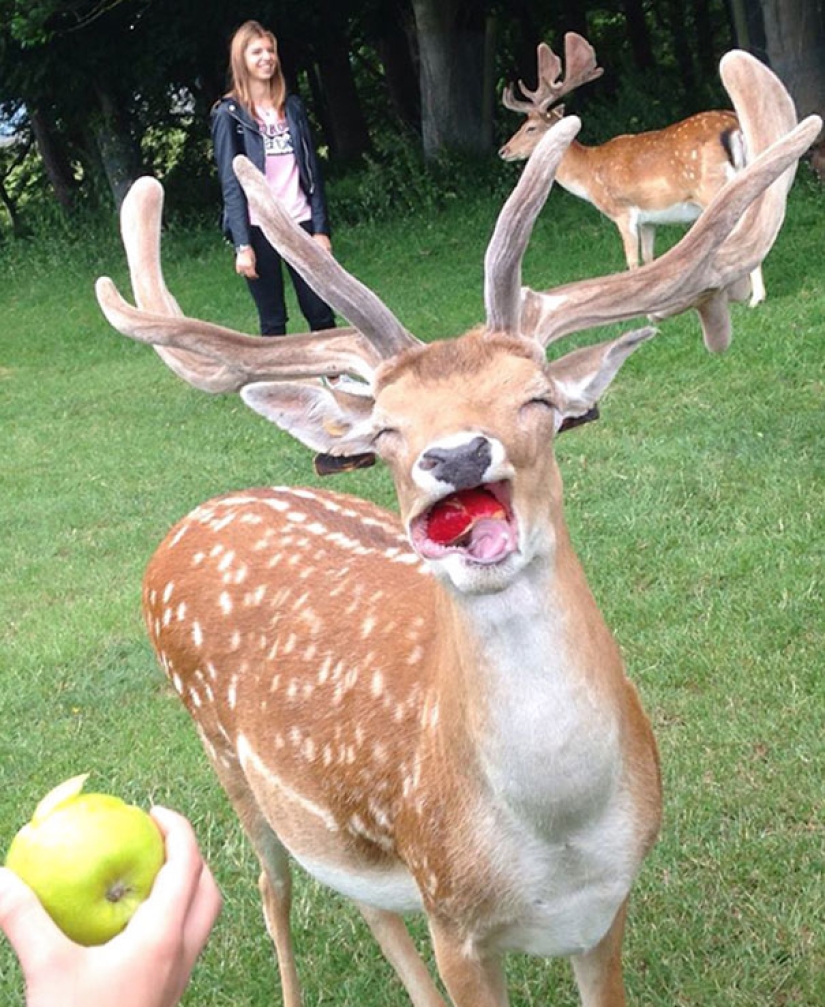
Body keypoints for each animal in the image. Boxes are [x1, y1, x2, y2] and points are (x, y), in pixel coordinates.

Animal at [499, 33, 769, 308]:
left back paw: (755, 297)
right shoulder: (649, 218)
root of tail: (734, 127)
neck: (589, 175)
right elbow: (650, 260)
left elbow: (632, 261)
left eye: (531, 128)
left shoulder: (622, 210)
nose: (503, 150)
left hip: (712, 188)